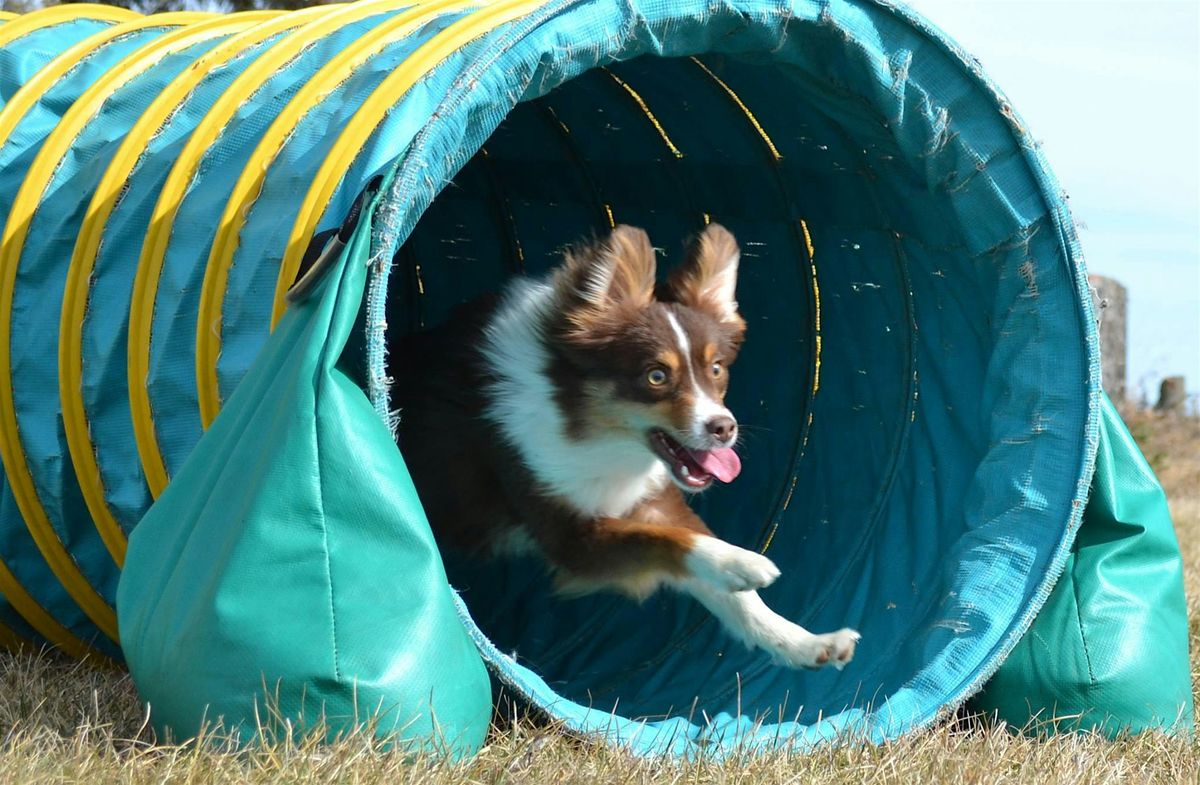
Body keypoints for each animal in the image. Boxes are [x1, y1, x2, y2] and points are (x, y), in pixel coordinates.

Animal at [396, 220, 864, 672]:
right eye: (656, 376)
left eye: (716, 369)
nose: (724, 428)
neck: (595, 433)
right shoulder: (570, 536)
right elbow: (662, 542)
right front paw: (741, 563)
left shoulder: (653, 502)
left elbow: (727, 589)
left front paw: (805, 643)